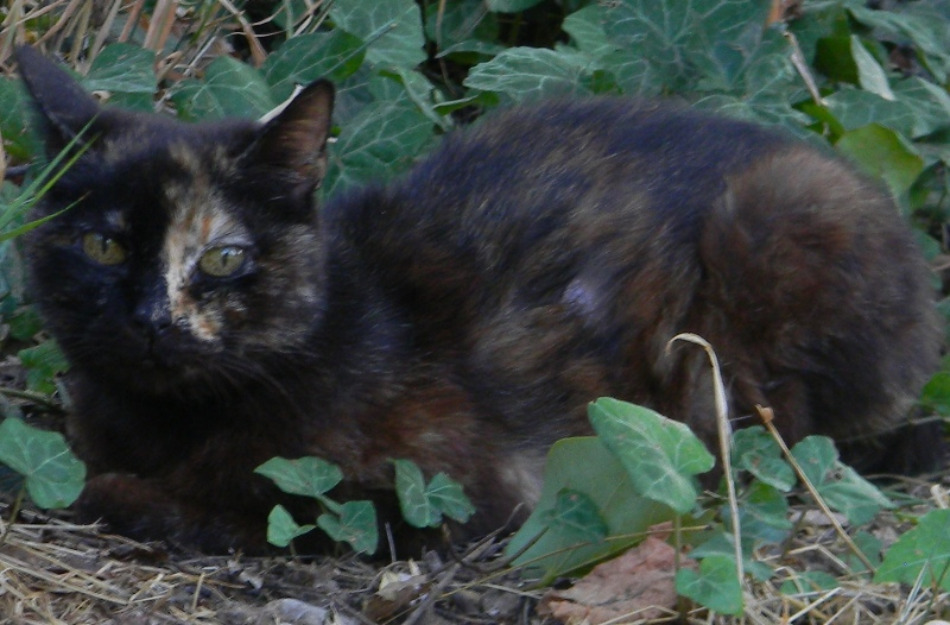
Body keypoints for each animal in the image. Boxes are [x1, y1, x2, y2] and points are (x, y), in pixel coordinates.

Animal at [14, 47, 944, 556]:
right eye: (103, 246)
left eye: (224, 257)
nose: (152, 320)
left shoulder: (451, 491)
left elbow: (220, 500)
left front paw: (120, 492)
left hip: (777, 214)